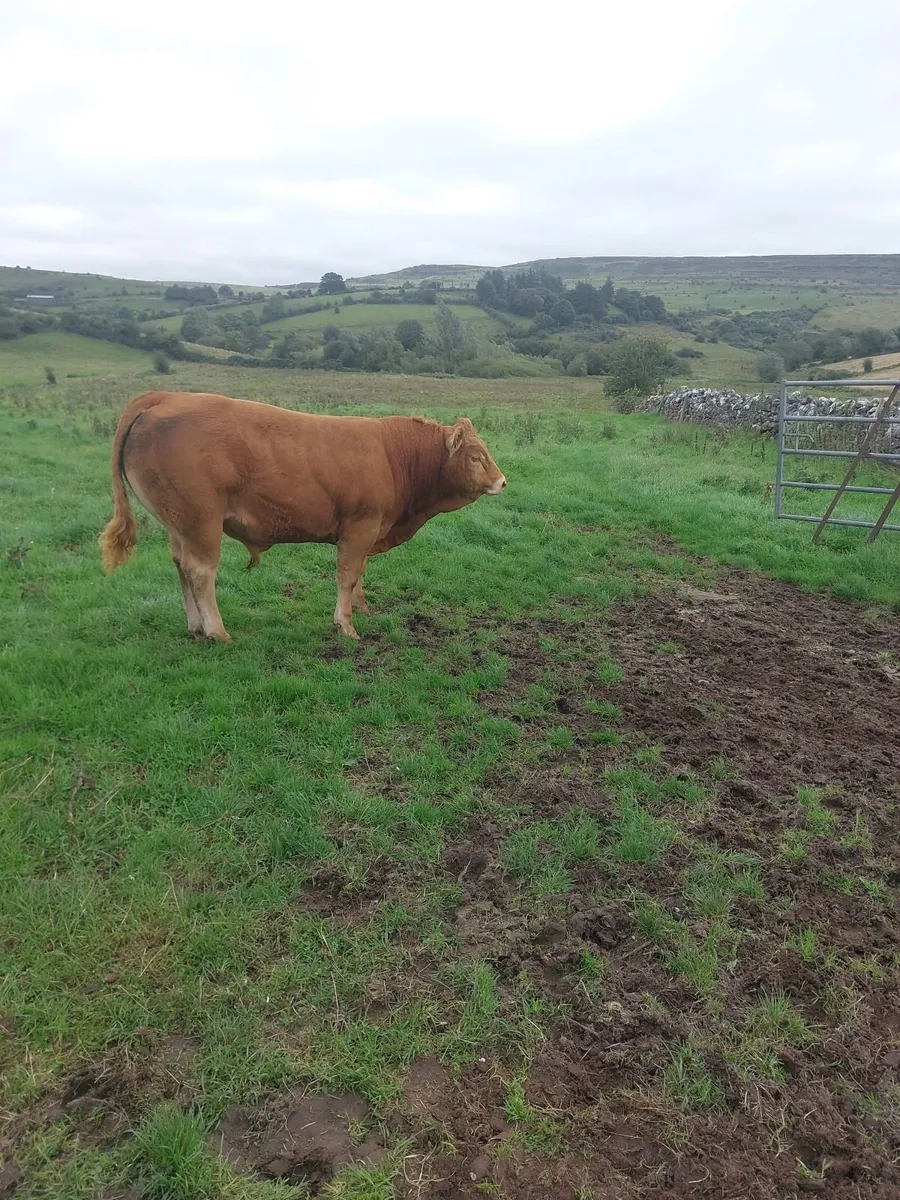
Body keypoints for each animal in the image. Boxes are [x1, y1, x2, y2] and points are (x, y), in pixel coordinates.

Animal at [99, 391, 506, 643]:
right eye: (475, 457)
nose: (503, 481)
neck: (395, 456)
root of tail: (166, 397)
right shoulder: (361, 526)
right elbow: (347, 574)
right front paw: (346, 624)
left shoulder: (368, 530)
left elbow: (359, 573)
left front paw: (362, 607)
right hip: (202, 523)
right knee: (200, 572)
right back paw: (217, 631)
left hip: (180, 525)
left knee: (182, 568)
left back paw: (196, 627)